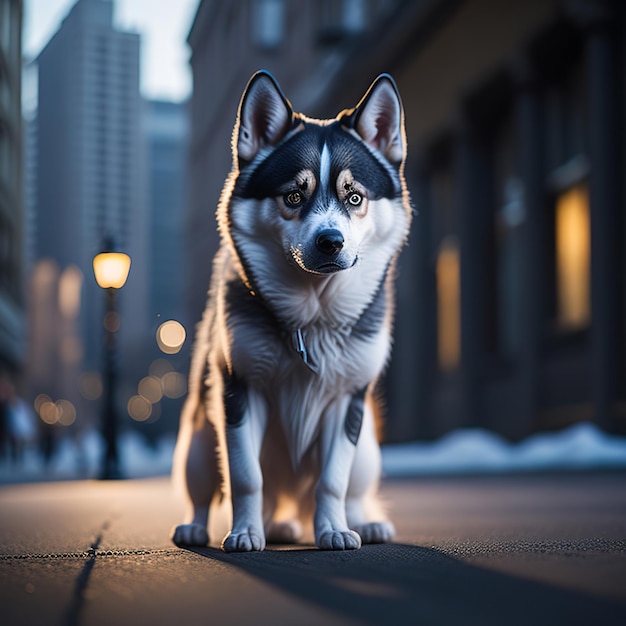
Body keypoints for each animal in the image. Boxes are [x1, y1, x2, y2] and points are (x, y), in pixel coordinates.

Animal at [171, 69, 412, 552]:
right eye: (294, 197)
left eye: (354, 198)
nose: (330, 241)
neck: (312, 314)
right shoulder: (239, 391)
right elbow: (246, 476)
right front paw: (245, 531)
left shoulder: (346, 401)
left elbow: (333, 481)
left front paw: (334, 529)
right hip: (199, 441)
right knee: (206, 489)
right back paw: (206, 526)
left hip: (368, 449)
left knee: (353, 489)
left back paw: (363, 522)